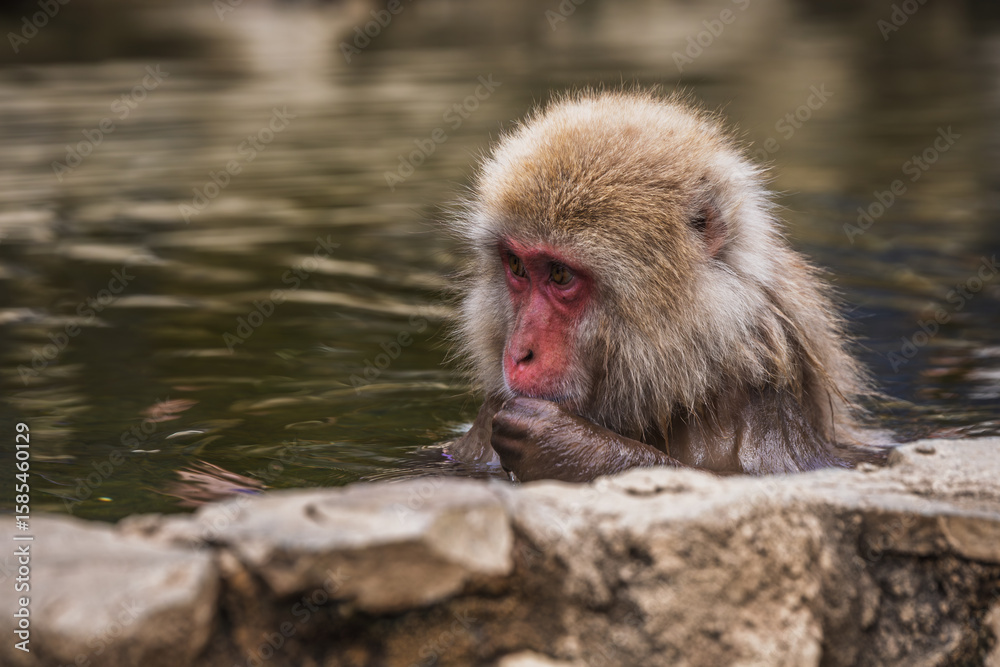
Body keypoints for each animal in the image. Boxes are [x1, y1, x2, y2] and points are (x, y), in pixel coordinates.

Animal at [446, 89, 888, 483]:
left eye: (560, 275)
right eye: (517, 265)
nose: (519, 354)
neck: (694, 375)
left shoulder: (762, 407)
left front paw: (569, 446)